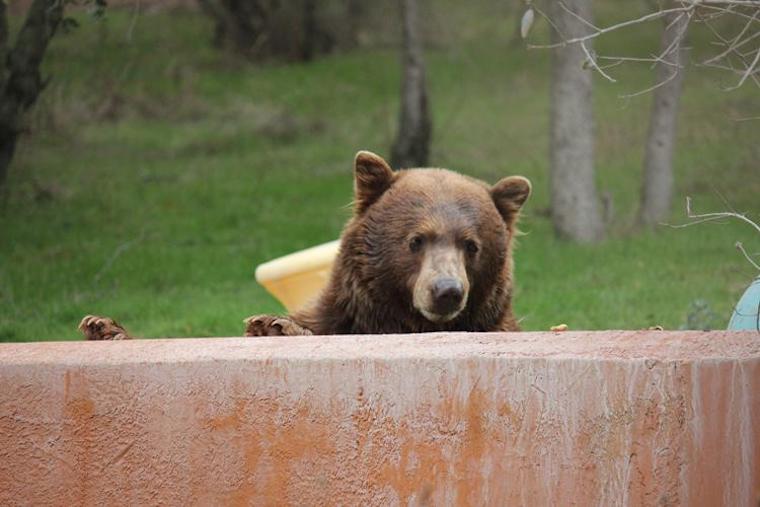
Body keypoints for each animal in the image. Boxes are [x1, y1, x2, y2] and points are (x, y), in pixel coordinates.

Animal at [78, 150, 530, 340]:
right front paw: (103, 327)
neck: (401, 321)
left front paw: (274, 326)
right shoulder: (340, 315)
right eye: (416, 240)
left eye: (471, 245)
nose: (446, 291)